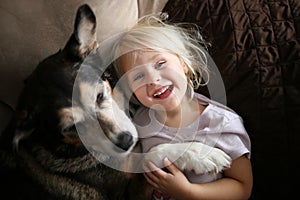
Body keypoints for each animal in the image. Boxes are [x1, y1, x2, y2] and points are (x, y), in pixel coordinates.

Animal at [0, 3, 232, 200]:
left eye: (100, 96)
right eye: (71, 128)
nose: (125, 142)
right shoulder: (129, 194)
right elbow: (150, 155)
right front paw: (198, 154)